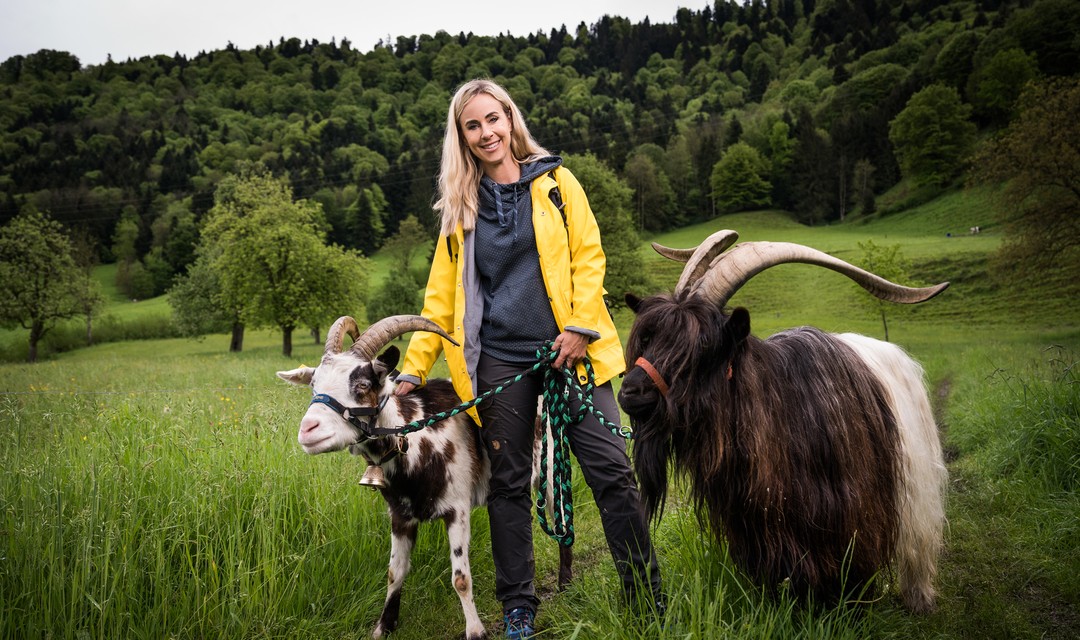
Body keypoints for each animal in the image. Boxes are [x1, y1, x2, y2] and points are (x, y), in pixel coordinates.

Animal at [274, 315, 570, 638]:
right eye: (314, 385)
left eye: (363, 384)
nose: (308, 430)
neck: (418, 439)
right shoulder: (400, 515)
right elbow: (394, 572)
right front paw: (384, 626)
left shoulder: (457, 509)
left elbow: (460, 578)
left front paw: (475, 630)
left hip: (551, 467)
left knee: (561, 523)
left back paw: (566, 585)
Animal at [622, 232, 950, 613]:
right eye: (648, 337)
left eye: (702, 346)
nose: (630, 390)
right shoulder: (756, 524)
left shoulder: (851, 512)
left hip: (915, 481)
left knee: (918, 540)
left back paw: (918, 597)